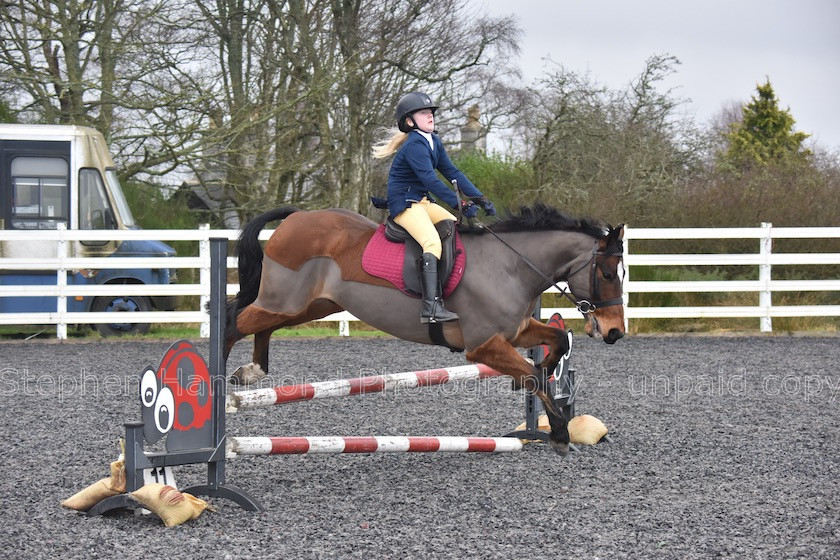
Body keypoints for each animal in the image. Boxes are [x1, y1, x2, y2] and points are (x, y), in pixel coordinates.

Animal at [223, 206, 624, 456]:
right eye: (606, 274)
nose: (615, 332)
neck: (511, 266)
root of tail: (298, 216)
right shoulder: (484, 347)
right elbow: (535, 378)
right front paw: (559, 434)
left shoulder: (516, 334)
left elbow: (556, 342)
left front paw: (545, 372)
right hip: (287, 301)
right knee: (231, 321)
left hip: (308, 306)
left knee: (259, 324)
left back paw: (251, 371)